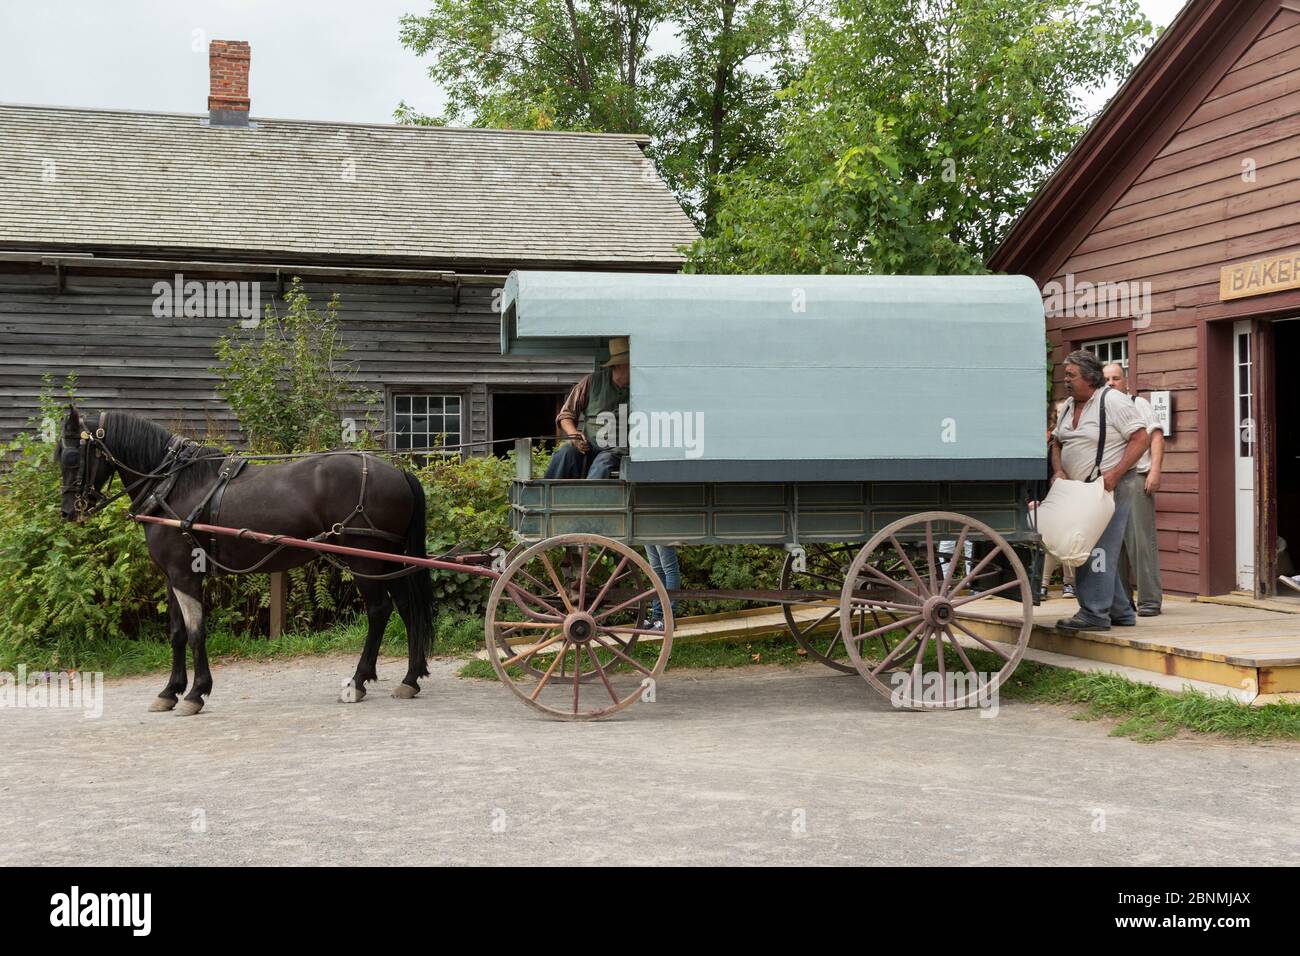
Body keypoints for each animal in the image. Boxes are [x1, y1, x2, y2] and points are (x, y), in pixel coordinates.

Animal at [54, 405, 436, 717]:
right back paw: (410, 678)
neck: (173, 487)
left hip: (364, 561)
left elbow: (196, 632)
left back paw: (358, 681)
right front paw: (169, 691)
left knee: (379, 611)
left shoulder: (186, 575)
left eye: (71, 457)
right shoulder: (172, 576)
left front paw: (196, 693)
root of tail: (399, 473)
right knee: (407, 608)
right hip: (387, 561)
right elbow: (177, 633)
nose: (69, 512)